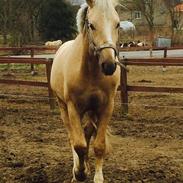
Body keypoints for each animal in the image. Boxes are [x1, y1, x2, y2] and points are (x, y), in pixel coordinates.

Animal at [50, 0, 121, 182]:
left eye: (117, 24)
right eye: (91, 25)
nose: (109, 65)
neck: (91, 72)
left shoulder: (106, 108)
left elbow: (99, 145)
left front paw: (97, 176)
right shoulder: (73, 108)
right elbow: (79, 145)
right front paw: (79, 173)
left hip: (90, 110)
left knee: (88, 132)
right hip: (63, 107)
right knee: (72, 138)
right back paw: (77, 169)